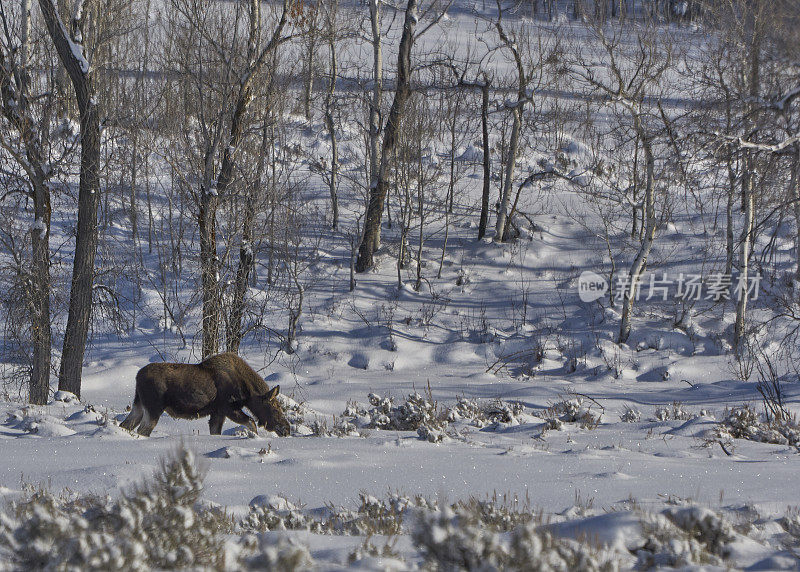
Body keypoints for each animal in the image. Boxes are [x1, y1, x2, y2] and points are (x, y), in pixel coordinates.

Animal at [120, 350, 290, 436]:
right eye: (275, 408)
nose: (287, 428)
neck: (247, 392)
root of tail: (137, 376)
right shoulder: (228, 408)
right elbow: (252, 423)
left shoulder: (217, 412)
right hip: (154, 408)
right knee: (142, 430)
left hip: (138, 404)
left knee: (125, 425)